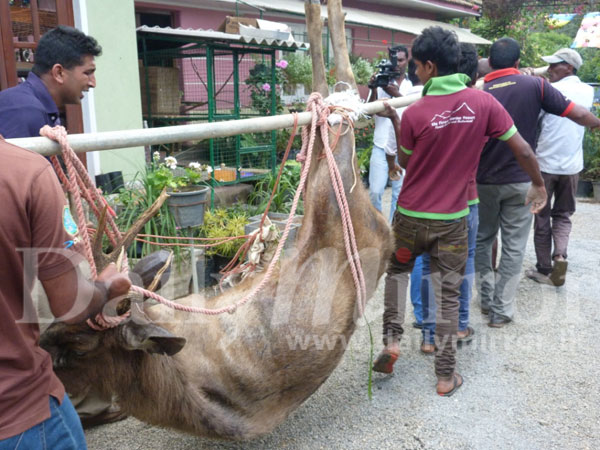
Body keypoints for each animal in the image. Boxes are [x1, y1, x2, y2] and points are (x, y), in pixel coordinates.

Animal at [39, 0, 392, 440]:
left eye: (78, 346)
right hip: (328, 190)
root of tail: (382, 230)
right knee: (332, 104)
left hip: (331, 194)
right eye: (59, 317)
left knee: (341, 92)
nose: (40, 348)